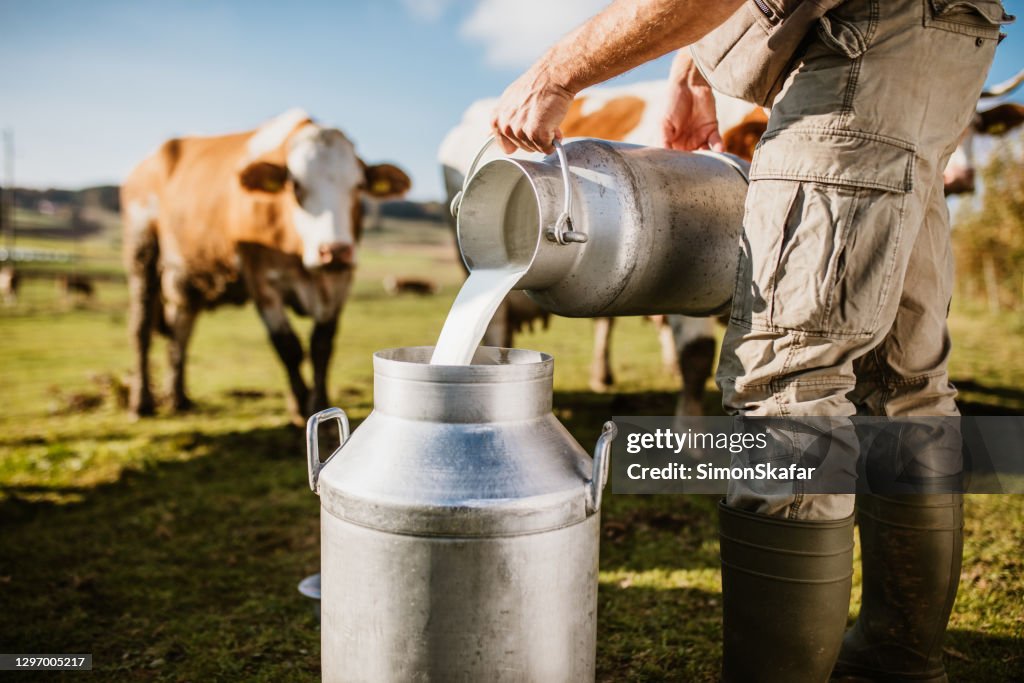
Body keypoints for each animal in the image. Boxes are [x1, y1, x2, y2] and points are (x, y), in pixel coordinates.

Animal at [125, 108, 413, 421]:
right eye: (295, 185)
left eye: (358, 186)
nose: (334, 251)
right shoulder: (262, 281)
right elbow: (288, 346)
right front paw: (300, 406)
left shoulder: (339, 281)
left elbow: (321, 345)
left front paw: (319, 402)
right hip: (142, 253)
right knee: (141, 329)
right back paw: (142, 402)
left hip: (187, 279)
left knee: (181, 330)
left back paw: (178, 397)